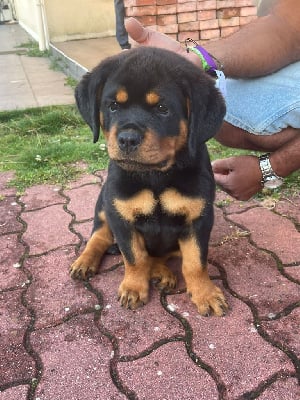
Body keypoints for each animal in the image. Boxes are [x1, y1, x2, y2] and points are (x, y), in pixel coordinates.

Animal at [71, 46, 227, 316]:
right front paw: (133, 288)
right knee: (99, 236)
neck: (155, 176)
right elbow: (134, 258)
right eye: (113, 106)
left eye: (162, 108)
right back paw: (85, 261)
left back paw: (162, 272)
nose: (127, 139)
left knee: (160, 256)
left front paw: (205, 294)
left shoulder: (198, 219)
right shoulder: (121, 216)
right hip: (104, 202)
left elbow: (195, 262)